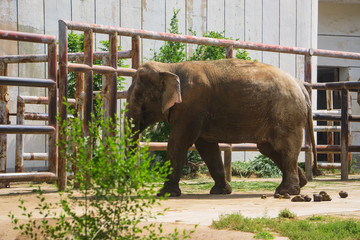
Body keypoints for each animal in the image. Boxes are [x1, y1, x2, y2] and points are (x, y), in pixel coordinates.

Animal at [126, 58, 318, 197]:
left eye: (138, 96)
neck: (169, 68)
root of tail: (301, 86)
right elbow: (206, 147)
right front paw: (220, 191)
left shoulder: (191, 106)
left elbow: (179, 142)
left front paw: (164, 194)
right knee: (269, 148)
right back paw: (301, 183)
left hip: (288, 114)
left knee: (284, 148)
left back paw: (286, 191)